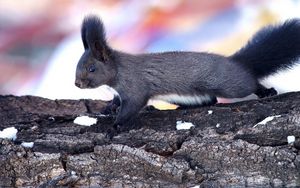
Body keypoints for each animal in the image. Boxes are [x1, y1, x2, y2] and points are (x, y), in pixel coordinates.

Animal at [74, 14, 300, 129]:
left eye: (92, 68)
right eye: (77, 65)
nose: (77, 84)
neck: (117, 73)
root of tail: (235, 62)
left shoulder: (135, 86)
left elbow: (132, 106)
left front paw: (116, 126)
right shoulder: (119, 92)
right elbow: (116, 101)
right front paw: (107, 109)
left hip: (229, 84)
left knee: (249, 83)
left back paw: (266, 91)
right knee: (211, 100)